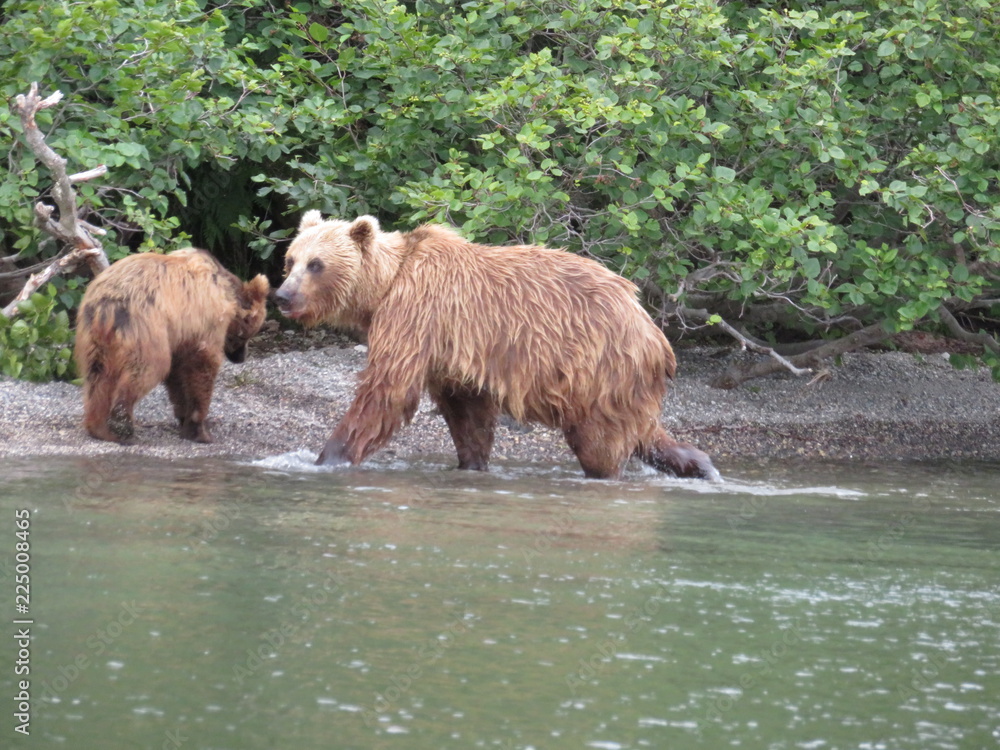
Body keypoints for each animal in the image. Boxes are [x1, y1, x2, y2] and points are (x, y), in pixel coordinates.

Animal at [74, 248, 269, 444]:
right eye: (246, 335)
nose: (241, 357)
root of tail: (106, 305)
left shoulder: (178, 336)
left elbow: (177, 376)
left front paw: (184, 418)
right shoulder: (205, 321)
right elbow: (202, 365)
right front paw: (200, 429)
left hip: (93, 336)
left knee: (97, 378)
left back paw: (100, 428)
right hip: (144, 328)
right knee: (148, 368)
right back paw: (122, 423)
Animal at [274, 212, 717, 480]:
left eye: (317, 264)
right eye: (290, 259)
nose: (282, 296)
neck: (385, 285)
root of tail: (652, 329)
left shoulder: (417, 315)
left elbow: (387, 390)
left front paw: (328, 456)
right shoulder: (451, 352)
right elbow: (467, 412)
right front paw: (471, 462)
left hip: (600, 364)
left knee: (600, 444)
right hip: (621, 381)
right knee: (643, 432)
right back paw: (700, 464)